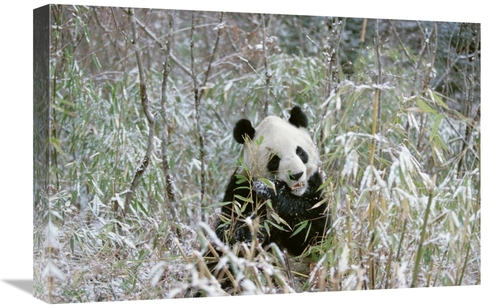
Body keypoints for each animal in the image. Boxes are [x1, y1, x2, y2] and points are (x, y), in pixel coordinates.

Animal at [216, 106, 330, 255]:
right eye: (274, 159)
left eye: (300, 152)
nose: (296, 175)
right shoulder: (241, 188)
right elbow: (225, 231)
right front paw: (249, 229)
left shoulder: (315, 187)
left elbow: (315, 232)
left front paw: (270, 190)